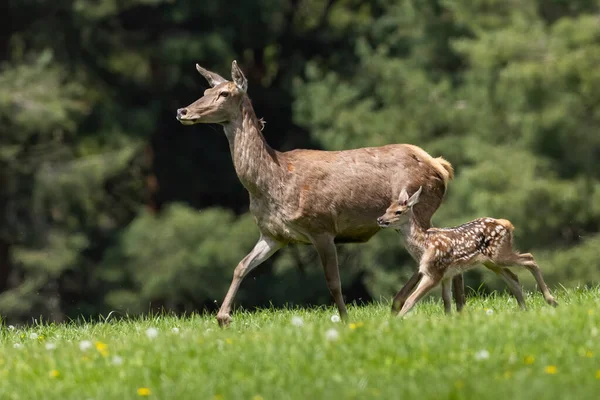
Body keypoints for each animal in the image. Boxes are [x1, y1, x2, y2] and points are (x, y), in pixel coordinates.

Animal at [177, 60, 460, 328]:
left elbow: (333, 282)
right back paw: (453, 305)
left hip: (418, 206)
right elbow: (241, 266)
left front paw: (345, 321)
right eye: (205, 90)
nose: (183, 111)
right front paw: (223, 317)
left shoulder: (321, 226)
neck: (272, 183)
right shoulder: (273, 234)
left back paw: (400, 302)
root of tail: (440, 166)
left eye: (224, 93)